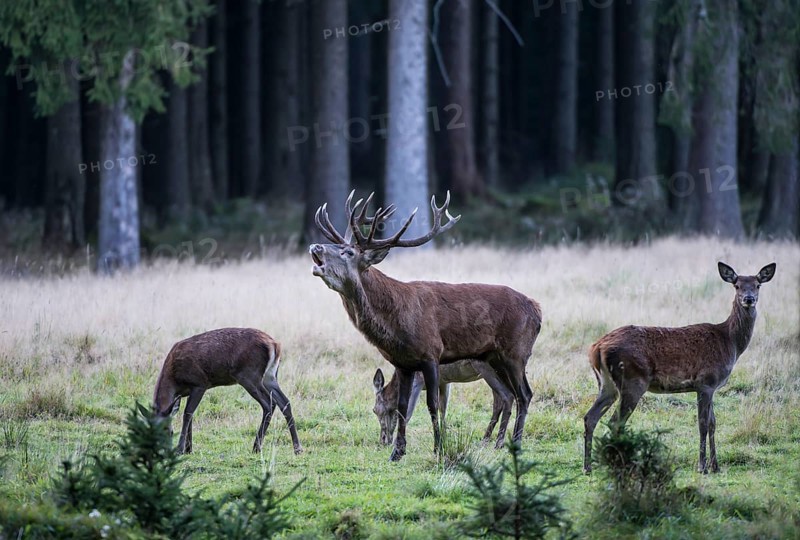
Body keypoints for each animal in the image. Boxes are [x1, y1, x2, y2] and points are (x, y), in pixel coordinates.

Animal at [152, 327, 303, 455]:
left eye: (169, 431)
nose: (162, 452)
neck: (174, 380)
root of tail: (275, 344)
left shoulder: (200, 383)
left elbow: (188, 413)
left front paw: (181, 449)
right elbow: (191, 414)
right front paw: (189, 449)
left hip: (249, 375)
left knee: (269, 403)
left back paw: (256, 447)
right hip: (270, 376)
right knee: (285, 402)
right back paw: (297, 448)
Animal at [372, 360, 517, 449]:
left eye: (374, 410)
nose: (382, 440)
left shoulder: (418, 379)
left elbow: (407, 414)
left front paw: (397, 444)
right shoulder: (444, 381)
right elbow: (442, 409)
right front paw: (443, 438)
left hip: (486, 367)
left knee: (508, 396)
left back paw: (499, 443)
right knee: (499, 401)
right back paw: (485, 440)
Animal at [583, 262, 776, 474]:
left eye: (757, 285)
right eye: (737, 285)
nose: (749, 299)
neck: (729, 342)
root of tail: (597, 347)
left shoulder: (713, 387)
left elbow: (713, 423)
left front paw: (716, 466)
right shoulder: (705, 382)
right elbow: (702, 424)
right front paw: (702, 467)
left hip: (607, 384)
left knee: (590, 417)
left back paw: (588, 467)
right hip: (633, 380)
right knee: (615, 422)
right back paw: (621, 465)